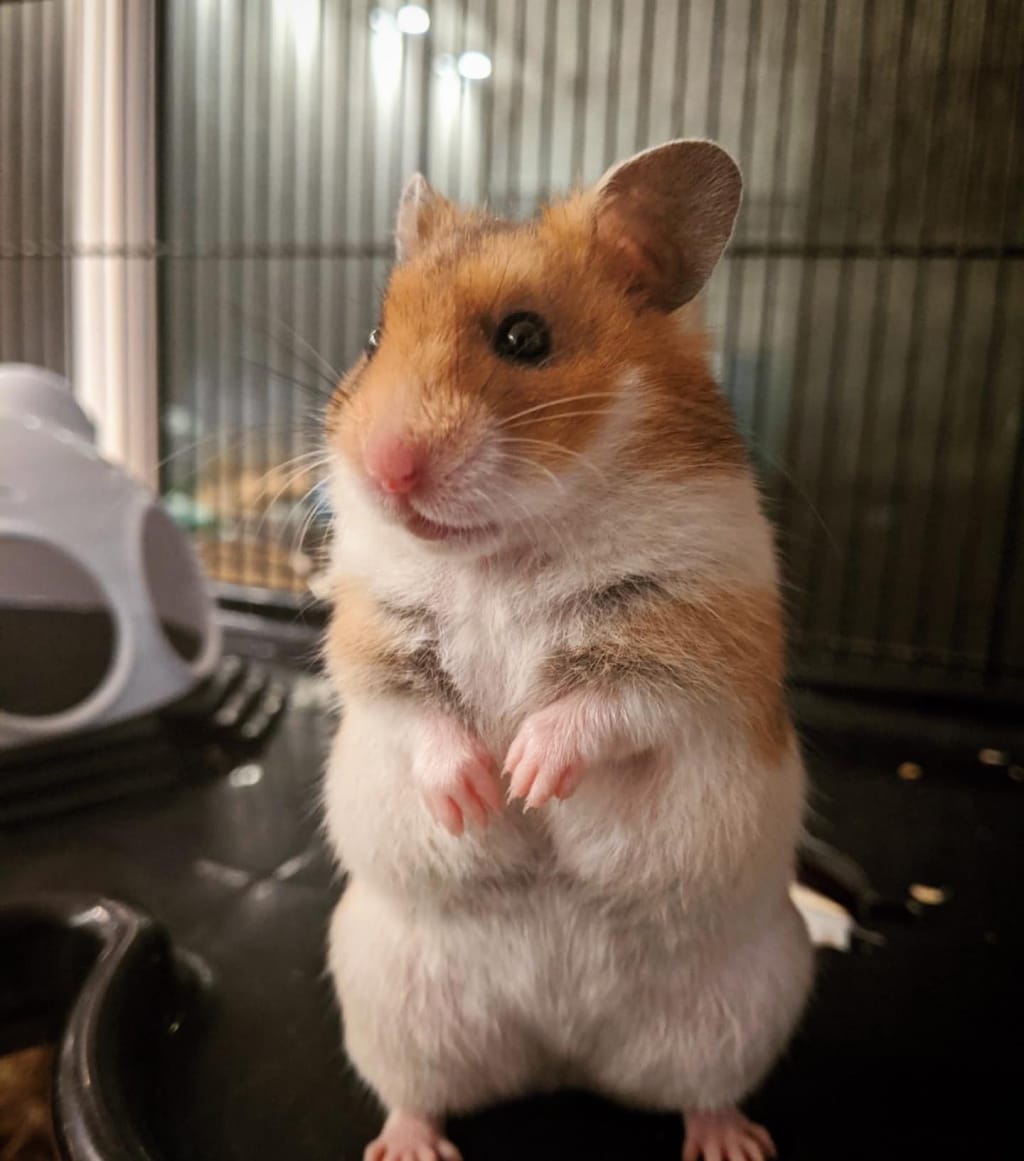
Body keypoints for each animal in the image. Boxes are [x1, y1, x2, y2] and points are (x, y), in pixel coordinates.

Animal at [322, 139, 813, 1161]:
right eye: (375, 339)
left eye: (524, 338)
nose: (385, 469)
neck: (505, 547)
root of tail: (559, 1051)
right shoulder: (373, 634)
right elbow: (416, 710)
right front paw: (478, 795)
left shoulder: (695, 630)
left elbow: (605, 704)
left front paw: (528, 776)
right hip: (386, 996)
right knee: (416, 1092)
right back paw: (408, 1146)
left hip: (751, 1000)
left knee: (704, 1089)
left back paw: (732, 1143)